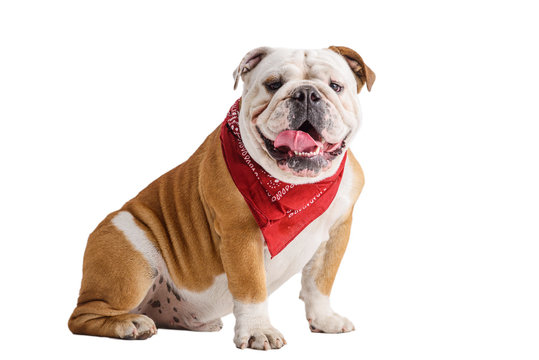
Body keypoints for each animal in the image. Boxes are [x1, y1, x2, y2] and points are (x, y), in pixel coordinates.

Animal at [67, 45, 376, 348]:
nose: (307, 94)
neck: (296, 187)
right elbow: (252, 288)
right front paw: (258, 331)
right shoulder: (240, 234)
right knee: (83, 315)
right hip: (132, 261)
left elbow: (320, 282)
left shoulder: (336, 232)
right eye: (273, 84)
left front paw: (324, 320)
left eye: (335, 86)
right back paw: (129, 324)